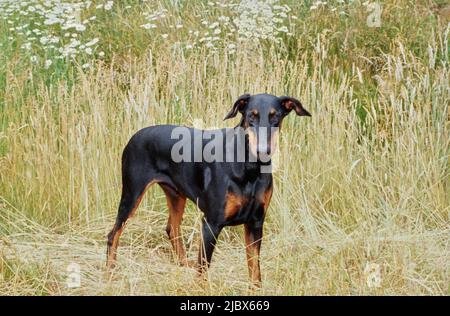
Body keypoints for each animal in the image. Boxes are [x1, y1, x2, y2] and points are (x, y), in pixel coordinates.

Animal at [106, 92, 310, 286]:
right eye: (251, 116)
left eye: (275, 117)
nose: (263, 150)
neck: (250, 168)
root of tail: (135, 136)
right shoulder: (211, 223)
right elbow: (203, 267)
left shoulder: (256, 222)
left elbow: (254, 269)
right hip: (132, 193)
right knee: (113, 234)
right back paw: (111, 272)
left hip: (176, 194)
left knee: (172, 228)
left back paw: (183, 263)